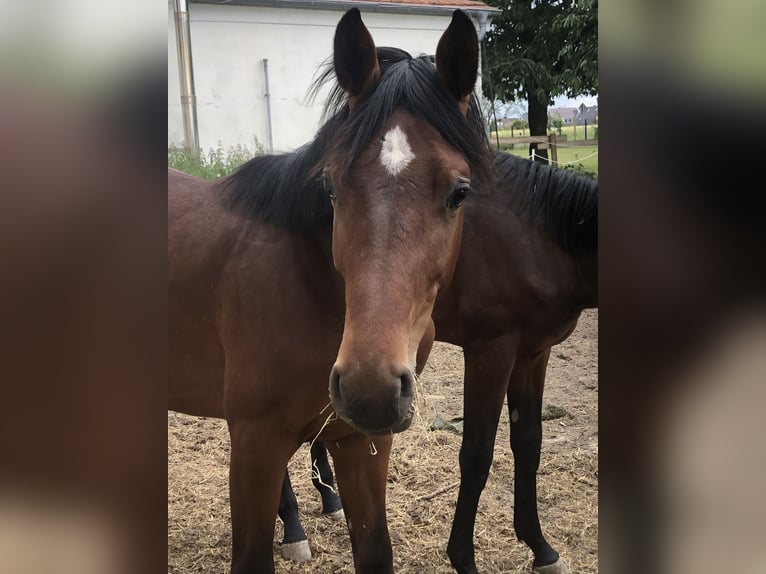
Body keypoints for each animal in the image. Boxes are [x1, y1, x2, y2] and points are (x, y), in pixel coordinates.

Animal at [170, 9, 492, 574]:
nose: (369, 385)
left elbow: (375, 548)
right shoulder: (254, 442)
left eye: (460, 192)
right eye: (331, 187)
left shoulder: (361, 441)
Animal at [280, 150, 596, 574]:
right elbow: (476, 455)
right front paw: (463, 557)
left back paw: (329, 499)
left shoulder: (533, 354)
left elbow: (529, 443)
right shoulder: (491, 352)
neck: (535, 236)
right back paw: (293, 528)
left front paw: (541, 547)